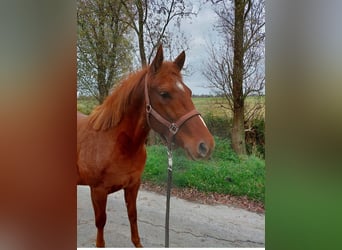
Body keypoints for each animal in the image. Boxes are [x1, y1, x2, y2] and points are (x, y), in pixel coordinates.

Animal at [78, 45, 214, 248]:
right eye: (164, 93)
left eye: (189, 92)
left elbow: (133, 216)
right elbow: (101, 223)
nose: (206, 145)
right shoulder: (98, 191)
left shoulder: (133, 185)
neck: (117, 144)